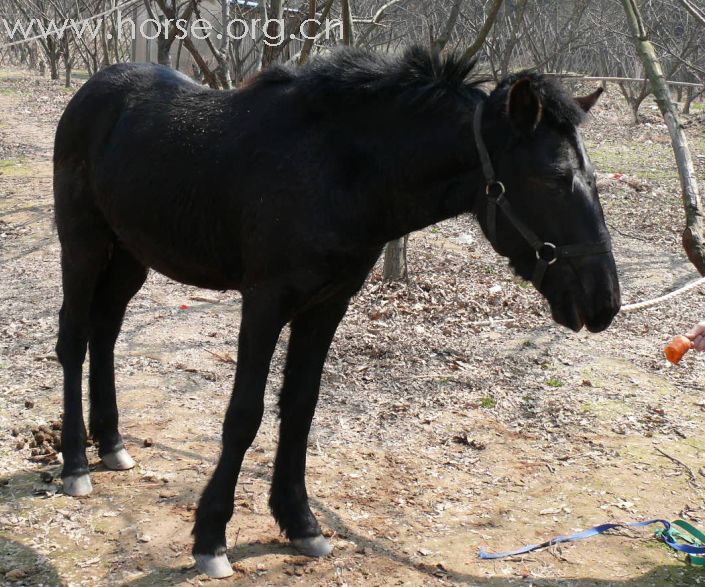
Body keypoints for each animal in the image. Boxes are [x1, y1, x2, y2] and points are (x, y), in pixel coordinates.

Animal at [52, 47, 620, 580]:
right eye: (553, 178)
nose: (604, 301)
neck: (339, 170)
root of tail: (94, 89)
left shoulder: (327, 304)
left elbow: (301, 407)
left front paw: (300, 522)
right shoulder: (264, 302)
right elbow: (244, 415)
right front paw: (211, 538)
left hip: (131, 255)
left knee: (105, 332)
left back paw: (111, 443)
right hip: (83, 245)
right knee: (74, 340)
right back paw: (75, 464)